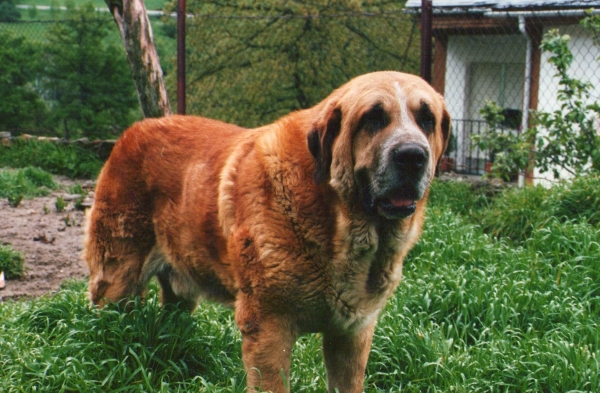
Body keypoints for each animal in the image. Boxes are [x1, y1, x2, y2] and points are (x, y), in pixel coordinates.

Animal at [84, 71, 450, 392]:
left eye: (426, 119)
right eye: (373, 118)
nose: (412, 156)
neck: (336, 217)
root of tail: (134, 131)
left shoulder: (352, 336)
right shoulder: (269, 328)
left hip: (180, 290)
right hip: (118, 277)